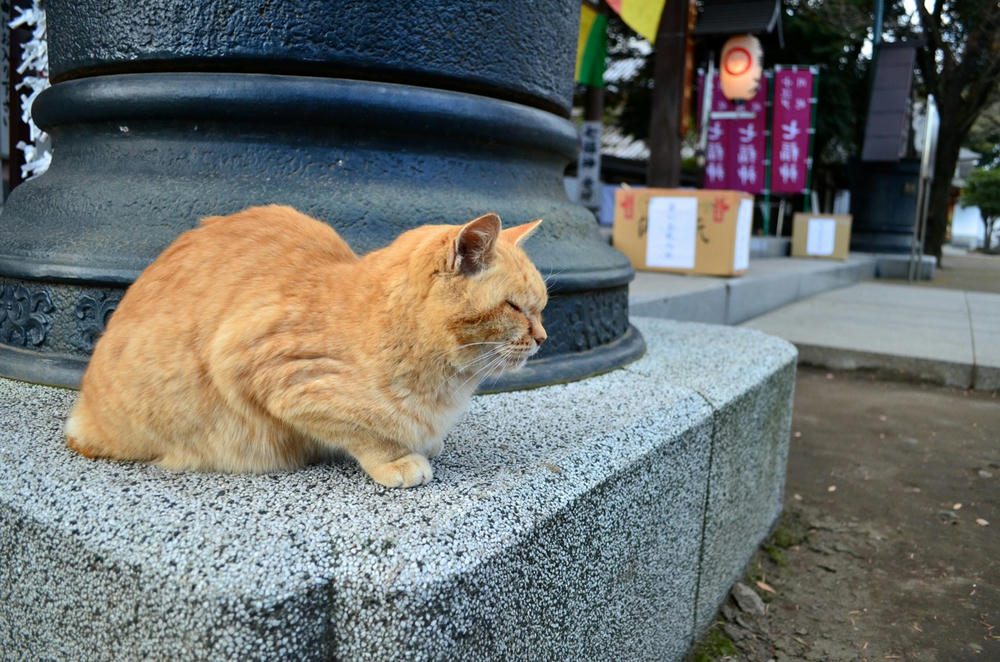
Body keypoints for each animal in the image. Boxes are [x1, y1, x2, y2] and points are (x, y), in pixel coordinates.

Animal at [64, 205, 548, 490]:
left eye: (542, 308)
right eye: (516, 307)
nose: (543, 338)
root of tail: (83, 409)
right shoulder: (273, 372)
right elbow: (365, 434)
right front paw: (398, 460)